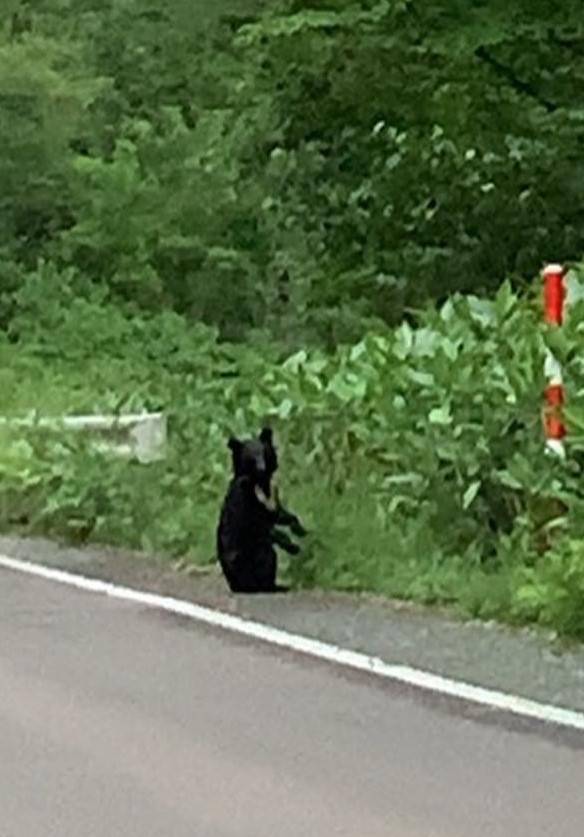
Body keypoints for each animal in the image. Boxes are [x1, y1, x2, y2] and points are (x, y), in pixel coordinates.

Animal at [214, 424, 306, 596]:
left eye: (264, 452)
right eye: (251, 457)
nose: (262, 468)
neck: (259, 482)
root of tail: (234, 586)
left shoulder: (271, 496)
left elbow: (279, 514)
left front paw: (300, 530)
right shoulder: (244, 500)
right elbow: (258, 526)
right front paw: (293, 546)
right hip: (243, 559)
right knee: (267, 556)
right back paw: (273, 586)